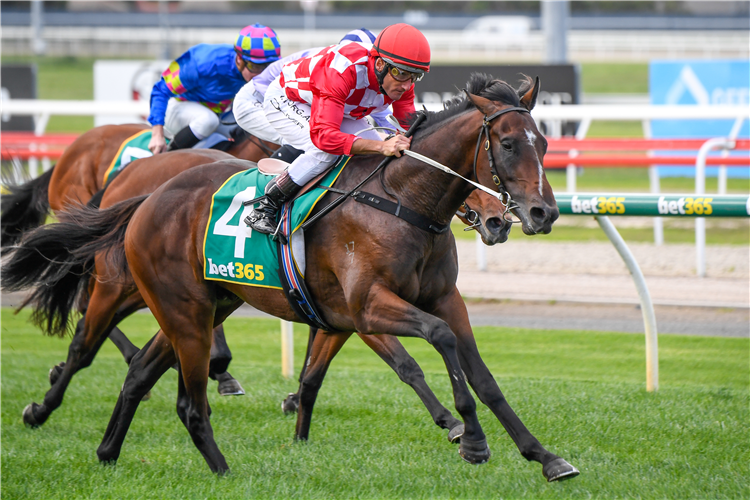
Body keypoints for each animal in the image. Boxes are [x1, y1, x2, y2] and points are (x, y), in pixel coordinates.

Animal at [42, 73, 576, 480]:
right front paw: (471, 437)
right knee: (98, 350)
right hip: (159, 301)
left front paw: (545, 457)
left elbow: (482, 376)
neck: (401, 199)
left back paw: (107, 451)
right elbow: (434, 344)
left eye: (547, 143)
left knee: (139, 371)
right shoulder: (367, 307)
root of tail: (146, 195)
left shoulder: (436, 299)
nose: (540, 213)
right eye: (507, 144)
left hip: (199, 307)